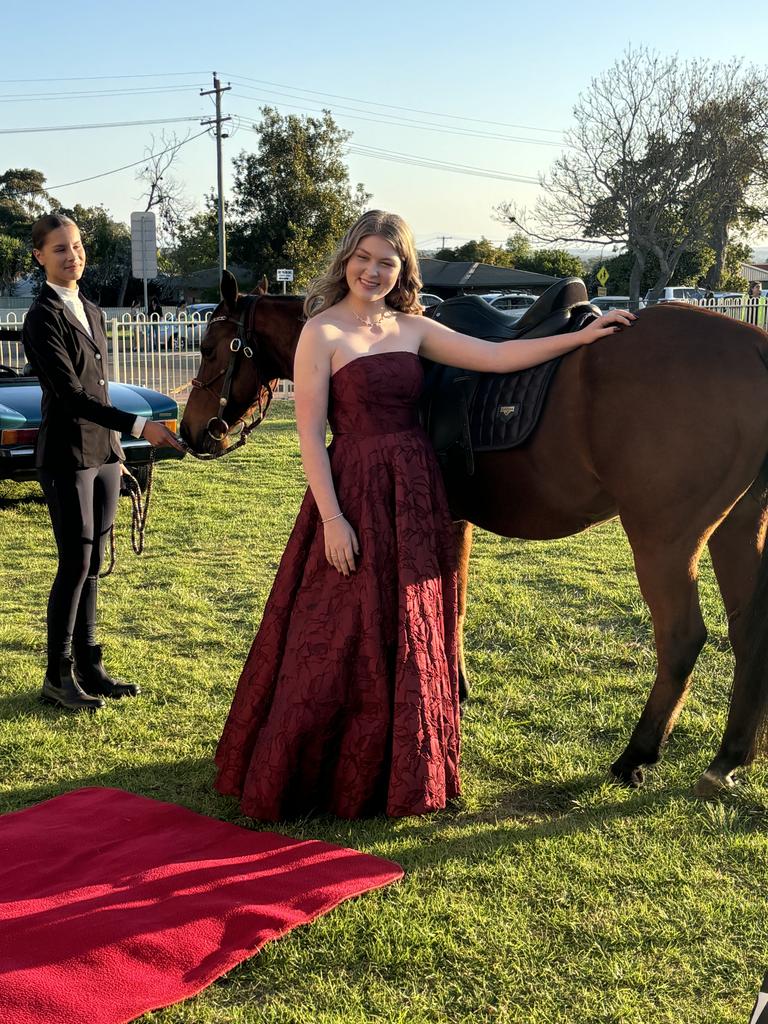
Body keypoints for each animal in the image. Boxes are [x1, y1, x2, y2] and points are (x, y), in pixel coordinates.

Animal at [180, 274, 768, 798]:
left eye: (208, 349)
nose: (191, 433)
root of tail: (755, 345)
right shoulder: (455, 517)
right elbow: (456, 600)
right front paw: (453, 685)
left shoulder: (446, 517)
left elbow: (448, 598)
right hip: (739, 528)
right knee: (749, 634)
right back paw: (728, 760)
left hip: (663, 539)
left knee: (682, 638)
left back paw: (637, 756)